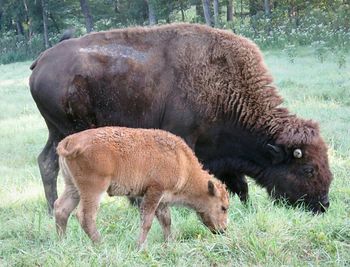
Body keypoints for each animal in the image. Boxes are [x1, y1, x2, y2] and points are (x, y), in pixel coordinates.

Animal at [29, 23, 330, 216]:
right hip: (72, 132)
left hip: (56, 132)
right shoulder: (184, 139)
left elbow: (239, 184)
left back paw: (52, 210)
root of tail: (41, 60)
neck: (224, 86)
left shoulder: (221, 152)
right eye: (308, 169)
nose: (323, 205)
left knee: (46, 162)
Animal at [54, 126, 230, 248]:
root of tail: (69, 141)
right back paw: (101, 243)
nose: (222, 230)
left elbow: (166, 220)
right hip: (93, 189)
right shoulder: (154, 191)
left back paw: (63, 242)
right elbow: (147, 221)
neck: (182, 161)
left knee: (61, 209)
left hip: (72, 188)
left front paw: (169, 243)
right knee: (85, 215)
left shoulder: (162, 199)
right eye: (223, 207)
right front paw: (140, 246)